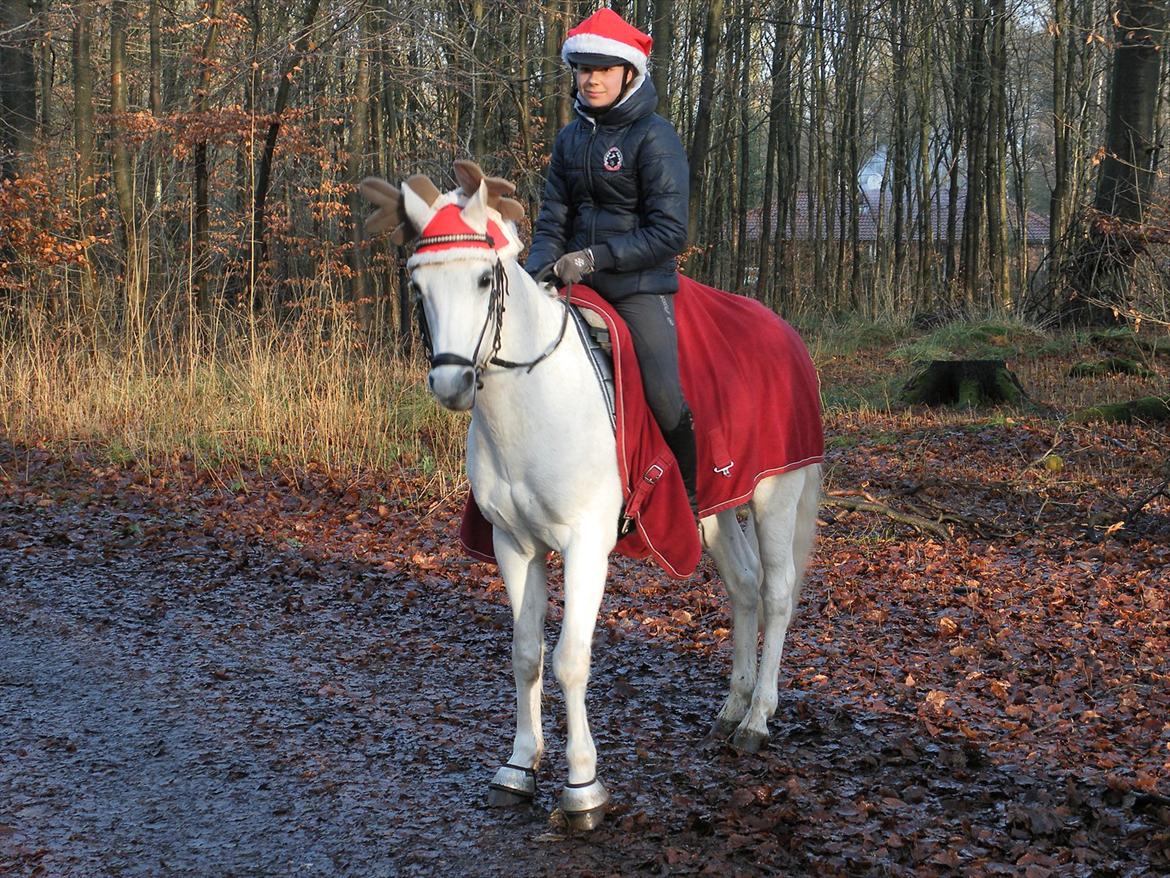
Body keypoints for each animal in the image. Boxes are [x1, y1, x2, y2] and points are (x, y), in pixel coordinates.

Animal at [360, 162, 821, 831]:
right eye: (418, 287)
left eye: (483, 278)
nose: (451, 383)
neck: (536, 399)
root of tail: (786, 334)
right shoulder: (515, 546)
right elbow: (526, 654)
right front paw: (518, 768)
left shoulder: (584, 548)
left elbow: (569, 660)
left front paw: (583, 788)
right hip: (713, 512)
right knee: (743, 586)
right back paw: (733, 708)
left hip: (775, 495)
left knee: (778, 593)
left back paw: (757, 719)